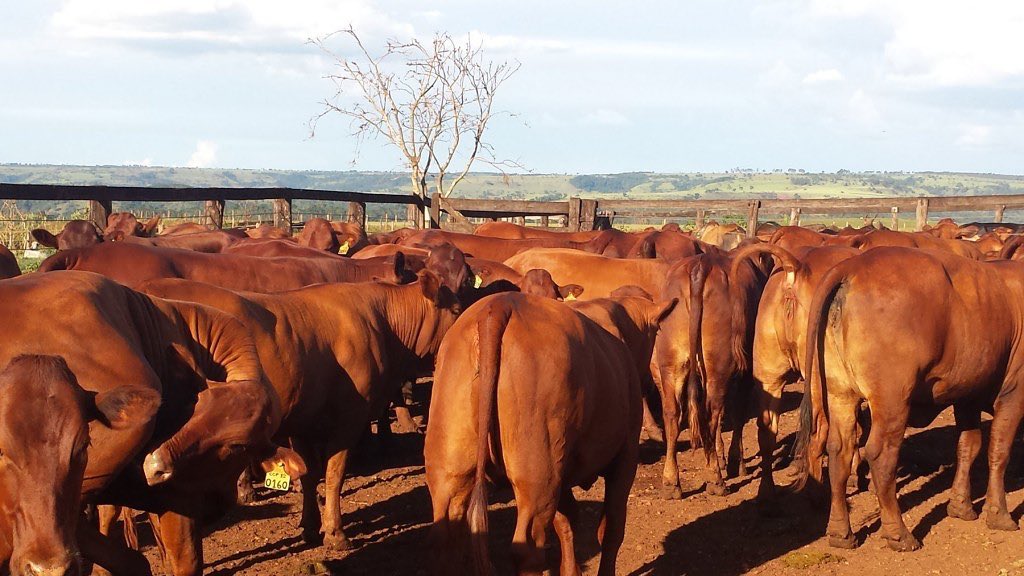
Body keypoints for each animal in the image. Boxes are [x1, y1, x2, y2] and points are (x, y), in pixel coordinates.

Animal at [423, 291, 671, 573]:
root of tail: (498, 304)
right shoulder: (625, 455)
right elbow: (611, 528)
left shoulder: (562, 468)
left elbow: (567, 522)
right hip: (538, 476)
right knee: (527, 547)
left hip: (452, 468)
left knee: (444, 537)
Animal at [802, 248, 1024, 553]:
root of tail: (852, 266)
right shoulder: (1014, 392)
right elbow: (999, 452)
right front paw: (999, 514)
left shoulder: (966, 394)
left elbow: (968, 446)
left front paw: (961, 506)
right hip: (892, 402)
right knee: (881, 456)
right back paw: (899, 534)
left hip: (840, 394)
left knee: (839, 452)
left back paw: (840, 532)